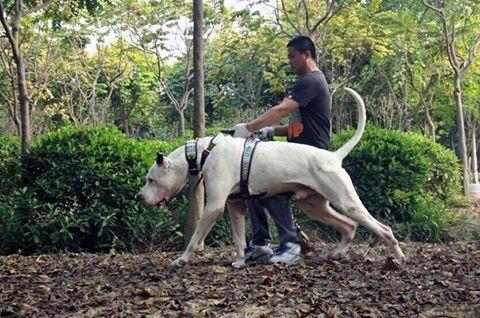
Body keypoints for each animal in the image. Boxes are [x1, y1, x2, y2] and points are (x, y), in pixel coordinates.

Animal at [138, 87, 404, 268]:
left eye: (151, 180)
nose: (139, 197)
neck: (204, 151)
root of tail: (334, 156)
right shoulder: (235, 205)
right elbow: (238, 238)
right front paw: (240, 261)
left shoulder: (213, 207)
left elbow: (195, 238)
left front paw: (181, 259)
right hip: (314, 206)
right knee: (349, 226)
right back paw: (338, 253)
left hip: (346, 202)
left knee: (382, 228)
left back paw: (398, 257)